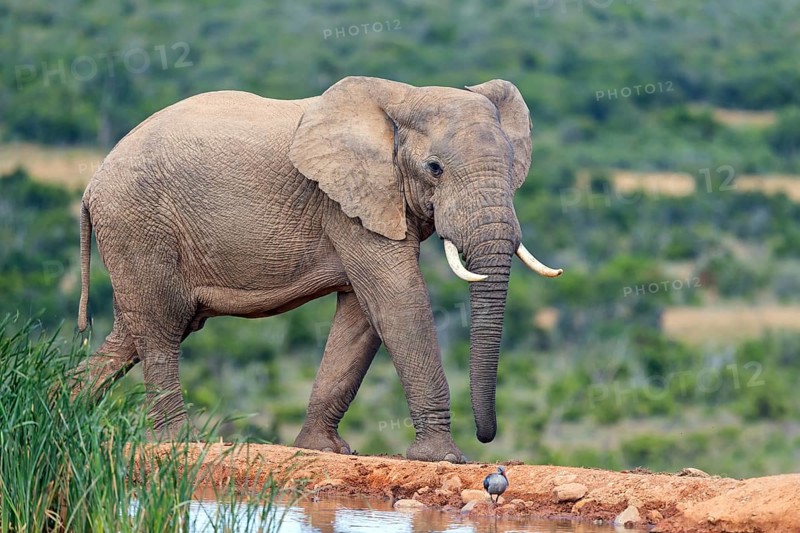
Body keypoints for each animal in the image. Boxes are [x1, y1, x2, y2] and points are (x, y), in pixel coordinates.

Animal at [75, 76, 562, 463]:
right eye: (435, 168)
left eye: (512, 167)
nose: (486, 437)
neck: (402, 97)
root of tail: (91, 184)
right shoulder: (344, 201)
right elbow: (398, 301)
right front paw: (443, 458)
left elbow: (362, 316)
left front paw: (323, 450)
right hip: (137, 225)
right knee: (161, 327)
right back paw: (180, 443)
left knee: (131, 334)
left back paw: (64, 409)